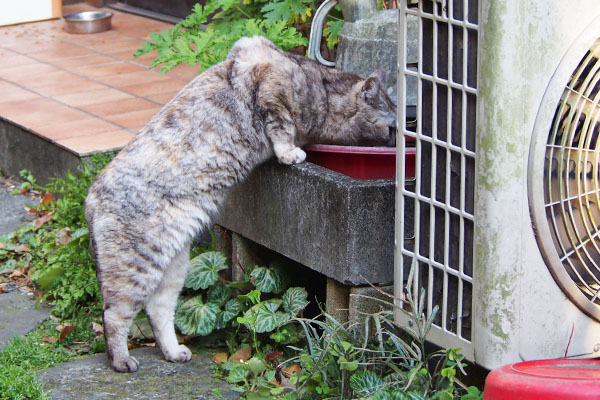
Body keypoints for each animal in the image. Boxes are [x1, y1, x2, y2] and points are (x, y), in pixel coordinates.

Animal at [84, 36, 394, 374]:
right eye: (392, 127)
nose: (399, 141)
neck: (322, 90)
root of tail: (91, 198)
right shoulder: (269, 81)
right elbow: (282, 126)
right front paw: (290, 153)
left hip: (174, 265)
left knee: (158, 309)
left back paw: (173, 351)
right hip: (136, 265)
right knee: (114, 314)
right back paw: (121, 360)